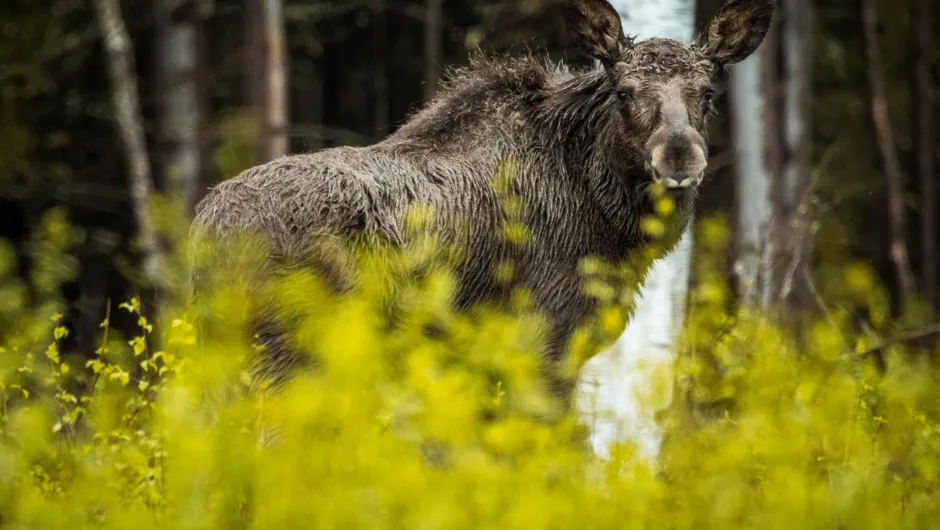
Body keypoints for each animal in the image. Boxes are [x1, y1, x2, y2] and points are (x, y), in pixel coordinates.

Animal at [189, 0, 772, 408]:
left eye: (707, 92)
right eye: (623, 92)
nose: (679, 155)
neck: (608, 219)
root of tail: (204, 234)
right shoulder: (545, 343)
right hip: (288, 355)